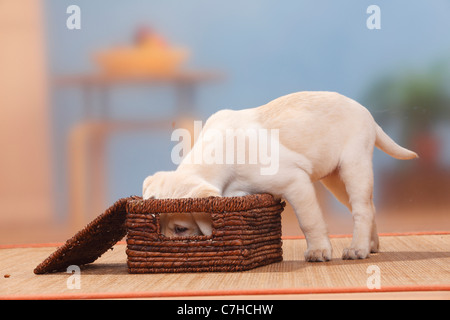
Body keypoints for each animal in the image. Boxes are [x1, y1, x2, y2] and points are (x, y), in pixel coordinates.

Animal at [142, 91, 416, 262]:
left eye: (180, 229)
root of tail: (368, 114)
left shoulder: (296, 183)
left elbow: (309, 221)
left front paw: (319, 251)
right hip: (335, 180)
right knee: (369, 206)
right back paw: (371, 245)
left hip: (353, 166)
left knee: (362, 209)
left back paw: (358, 249)